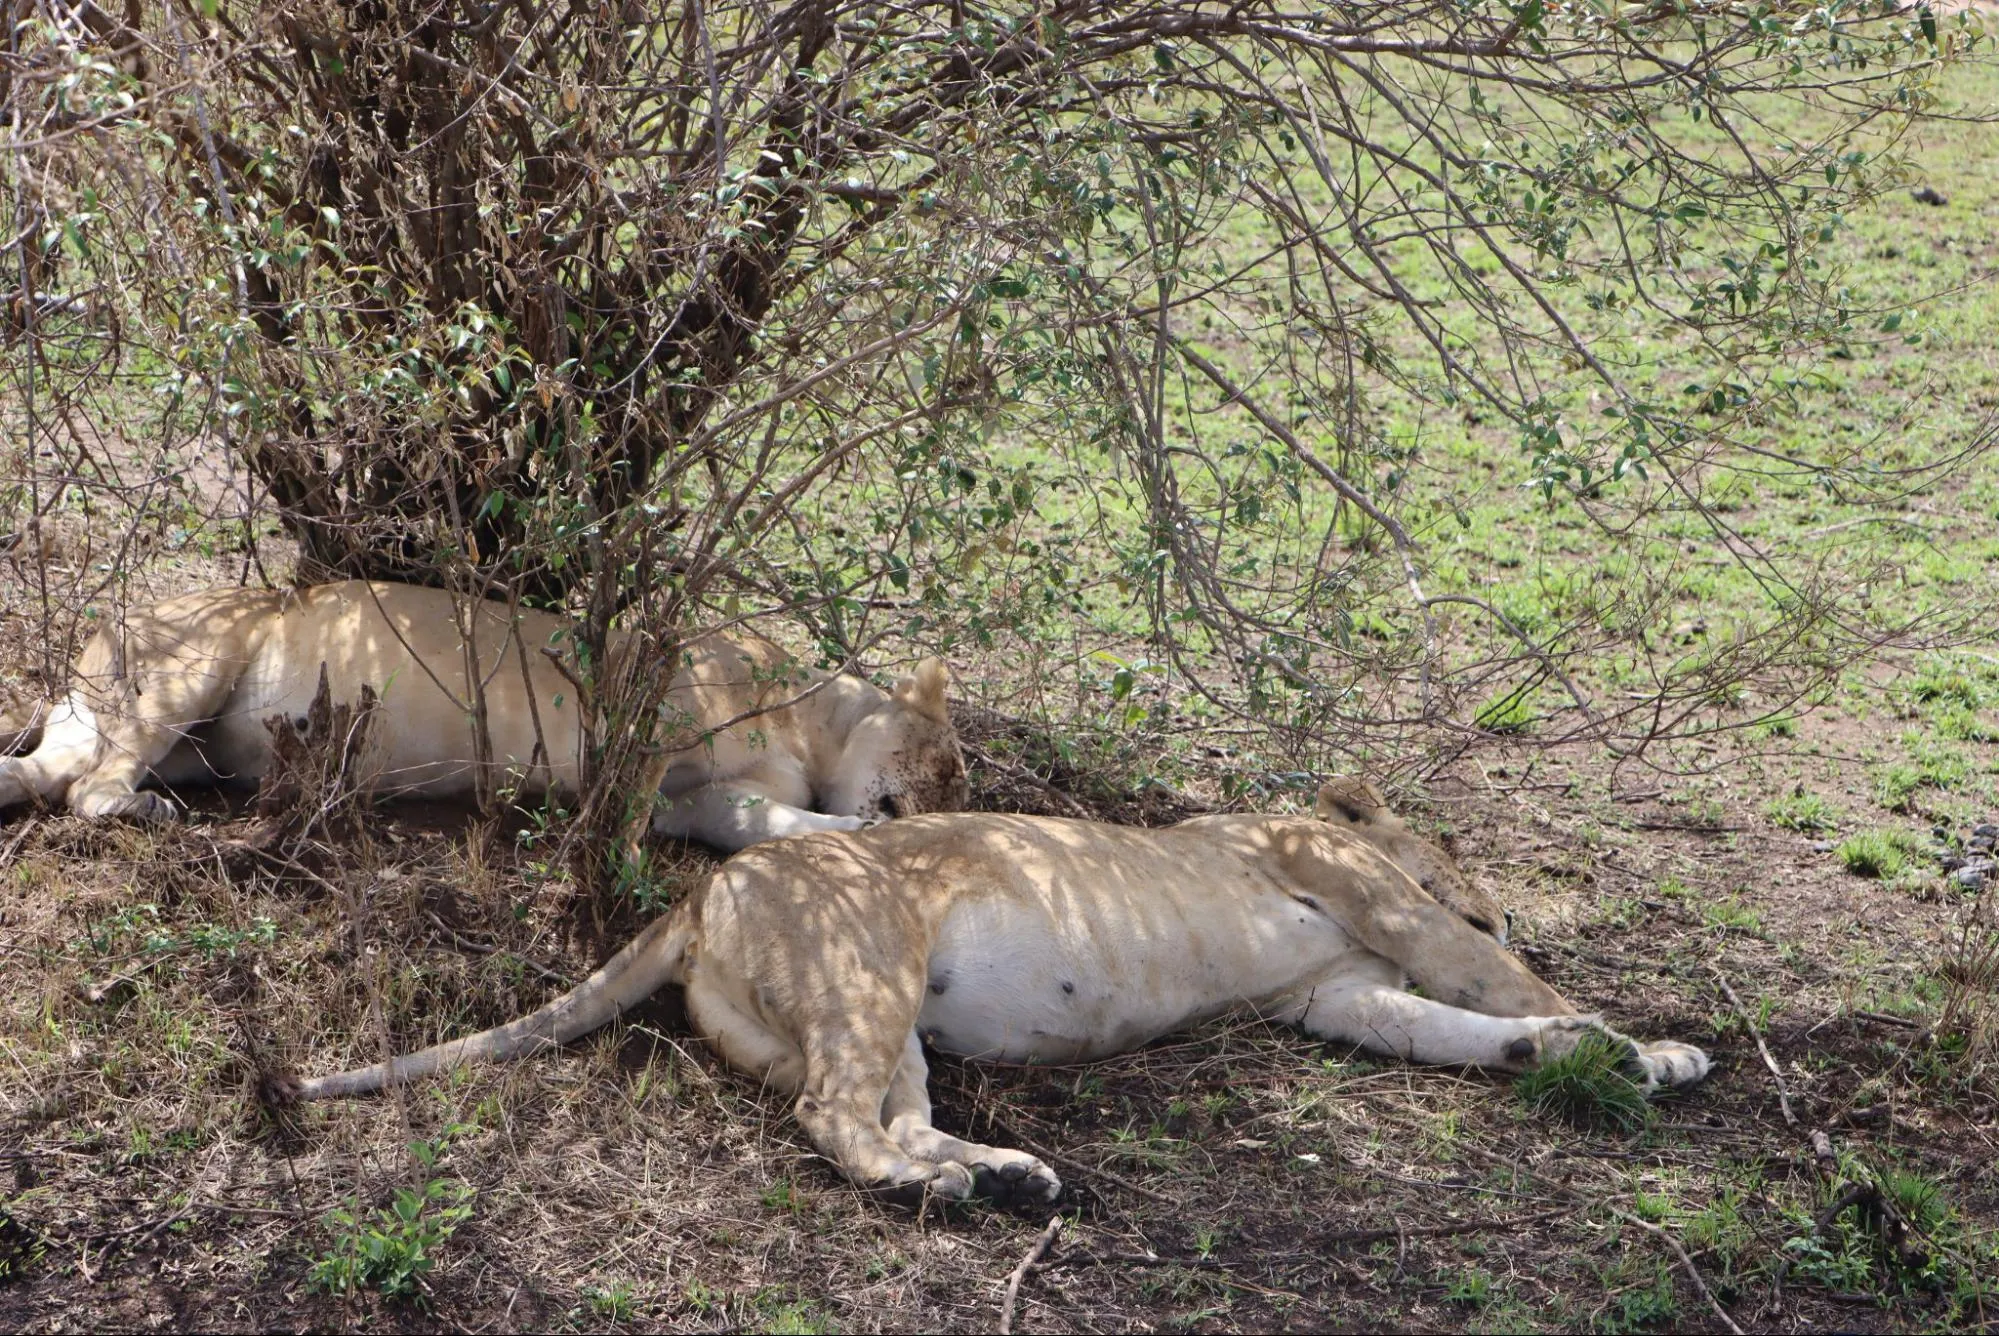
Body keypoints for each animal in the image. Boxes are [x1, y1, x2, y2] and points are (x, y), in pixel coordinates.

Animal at [0, 580, 967, 852]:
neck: (818, 731)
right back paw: (150, 811)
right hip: (194, 666)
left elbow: (771, 824)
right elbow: (628, 797)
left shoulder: (708, 801)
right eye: (947, 767)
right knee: (89, 791)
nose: (944, 810)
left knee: (45, 774)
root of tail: (101, 628)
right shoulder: (647, 708)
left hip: (166, 738)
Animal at [281, 776, 1711, 1208]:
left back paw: (1007, 1175)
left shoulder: (1337, 996)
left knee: (884, 1114)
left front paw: (1562, 1056)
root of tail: (697, 896)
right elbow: (1499, 978)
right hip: (865, 964)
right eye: (1468, 870)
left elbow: (1463, 1026)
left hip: (883, 1014)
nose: (1494, 891)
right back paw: (951, 1191)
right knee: (833, 1122)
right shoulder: (1371, 897)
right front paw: (1640, 1048)